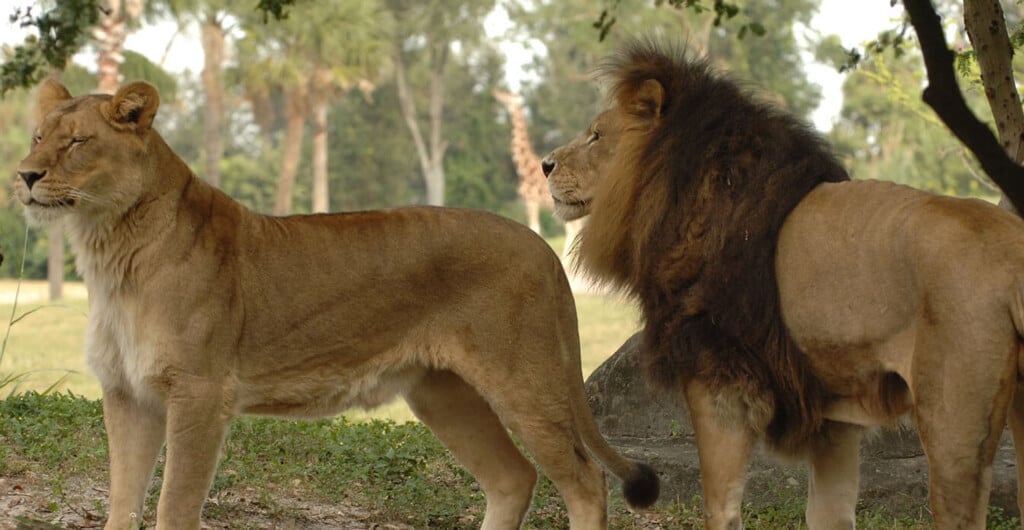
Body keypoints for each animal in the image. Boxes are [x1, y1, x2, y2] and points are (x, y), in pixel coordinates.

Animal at [13, 79, 659, 530]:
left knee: (584, 481)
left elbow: (174, 506)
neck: (110, 248)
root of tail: (538, 244)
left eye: (77, 142)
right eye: (38, 136)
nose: (23, 175)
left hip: (525, 381)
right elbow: (122, 504)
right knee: (513, 478)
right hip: (443, 393)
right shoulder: (128, 394)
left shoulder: (198, 392)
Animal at [542, 40, 1024, 529]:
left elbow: (720, 507)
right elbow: (829, 512)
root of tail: (1010, 249)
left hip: (953, 428)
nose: (545, 164)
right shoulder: (834, 420)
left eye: (596, 136)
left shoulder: (719, 381)